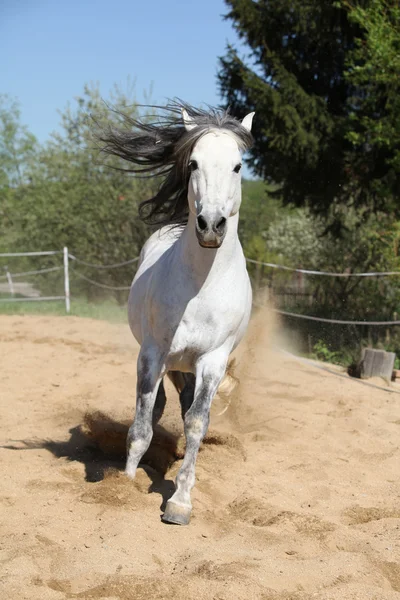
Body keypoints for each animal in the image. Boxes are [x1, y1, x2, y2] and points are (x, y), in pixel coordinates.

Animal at [101, 102, 255, 520]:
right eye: (194, 163)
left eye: (238, 166)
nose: (211, 225)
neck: (200, 288)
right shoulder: (153, 354)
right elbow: (141, 425)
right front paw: (124, 485)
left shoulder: (213, 361)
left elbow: (197, 422)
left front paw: (180, 501)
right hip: (169, 362)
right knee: (157, 408)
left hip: (188, 366)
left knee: (185, 409)